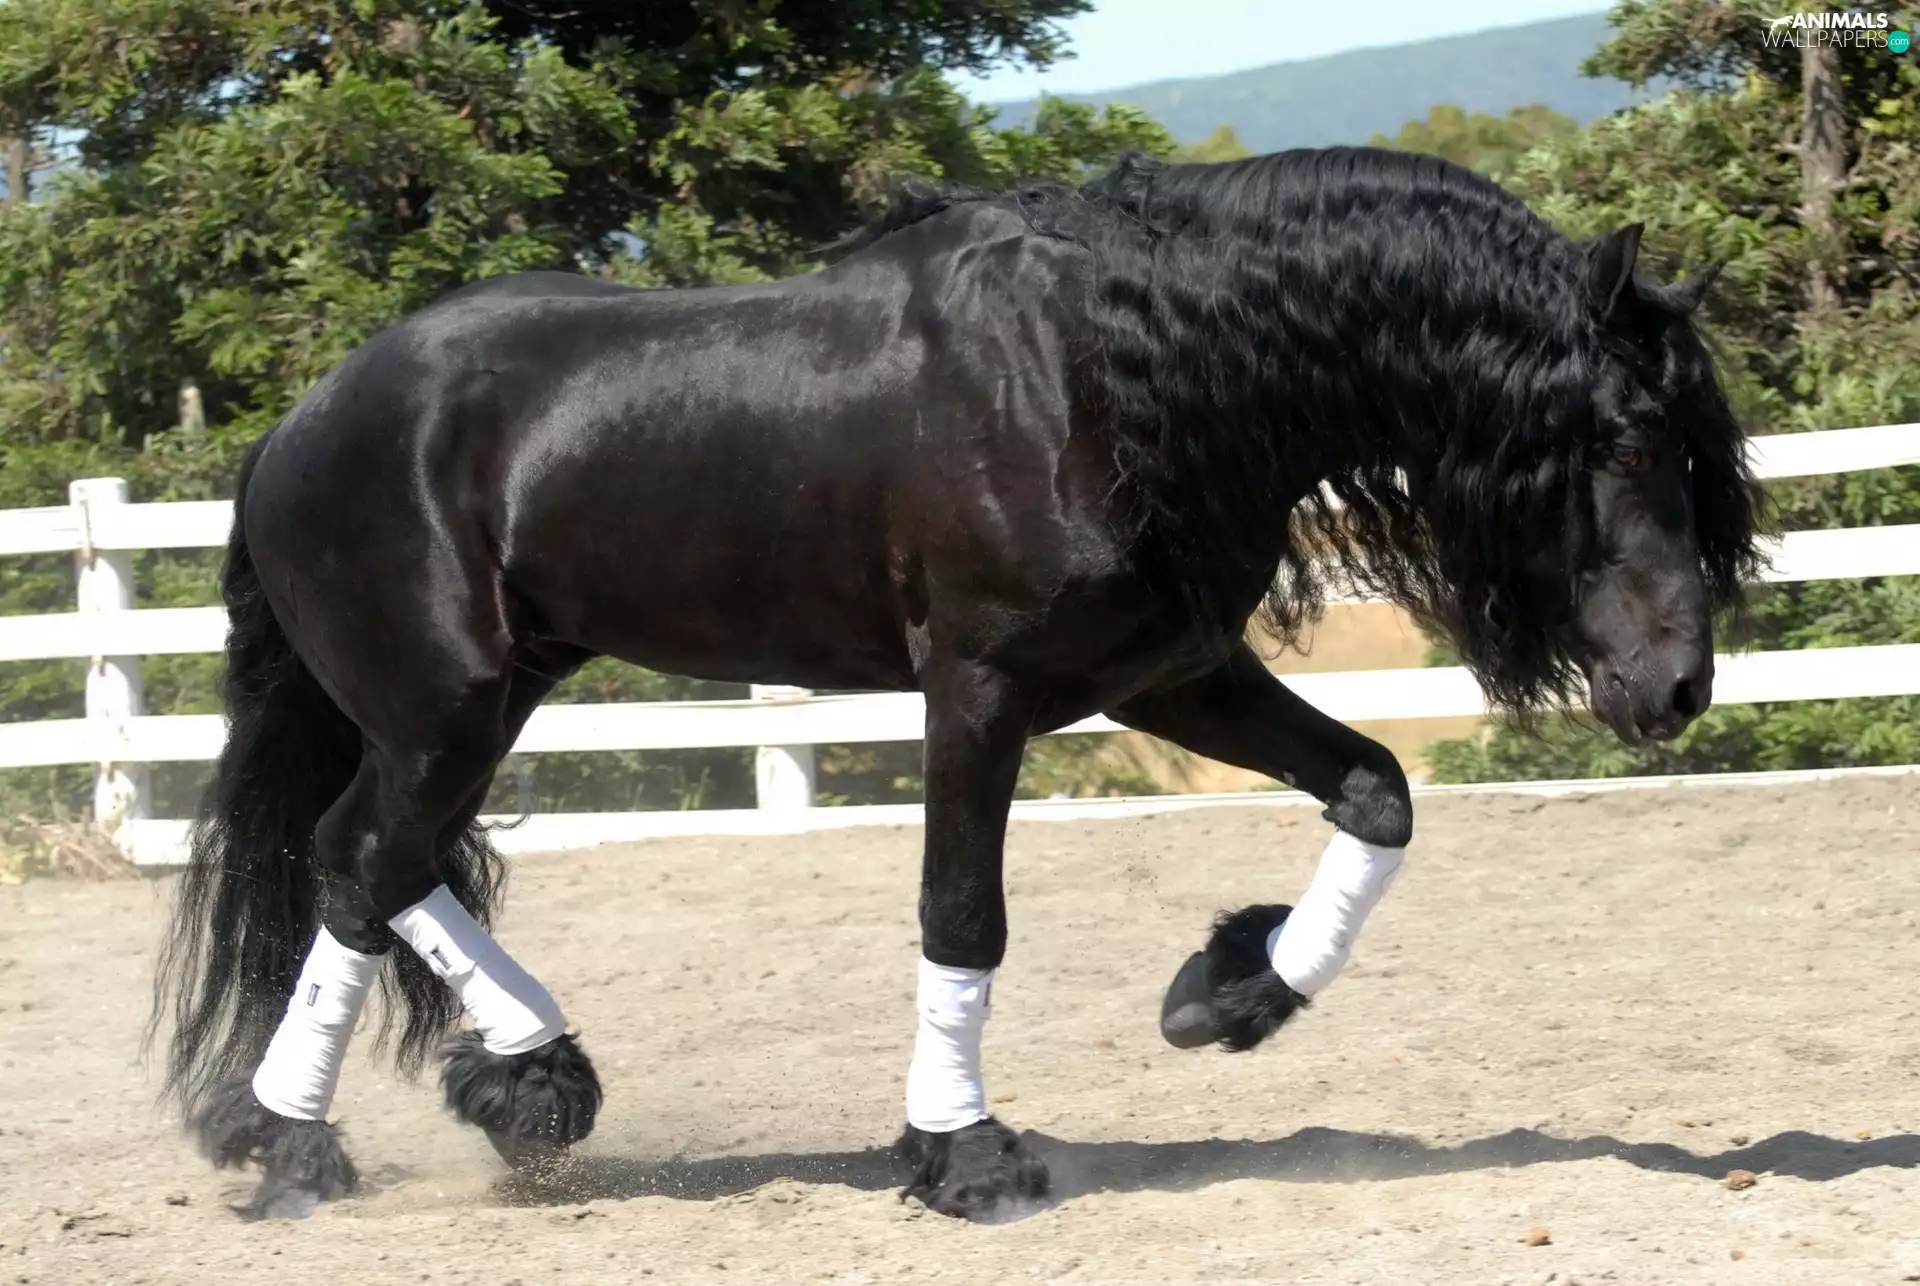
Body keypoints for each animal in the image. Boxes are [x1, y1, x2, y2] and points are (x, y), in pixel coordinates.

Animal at [151, 145, 1760, 1222]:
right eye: (1623, 433)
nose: (1679, 684)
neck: (1111, 370)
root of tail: (299, 423)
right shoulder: (977, 693)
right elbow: (962, 914)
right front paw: (964, 1153)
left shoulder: (1169, 672)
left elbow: (1377, 789)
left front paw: (1230, 992)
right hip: (445, 706)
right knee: (364, 864)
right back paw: (300, 1147)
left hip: (490, 698)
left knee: (375, 862)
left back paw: (521, 1084)